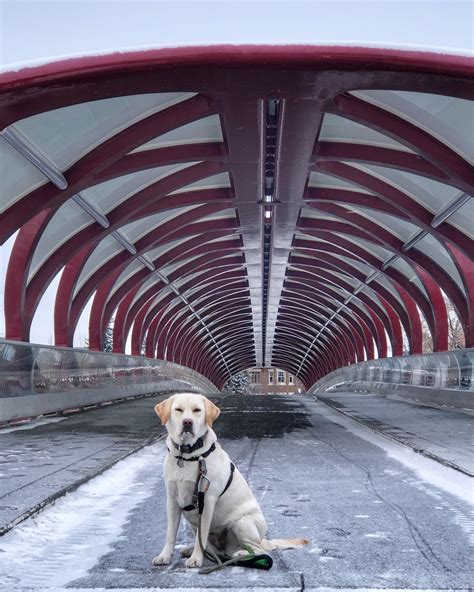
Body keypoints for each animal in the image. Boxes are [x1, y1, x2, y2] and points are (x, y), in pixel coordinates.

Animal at [151, 394, 308, 568]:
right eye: (178, 410)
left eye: (197, 410)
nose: (187, 422)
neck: (187, 456)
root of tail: (263, 539)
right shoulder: (172, 499)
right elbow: (171, 534)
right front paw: (164, 556)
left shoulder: (207, 501)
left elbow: (201, 537)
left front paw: (196, 558)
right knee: (215, 549)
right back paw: (195, 550)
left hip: (241, 523)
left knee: (257, 549)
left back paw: (242, 554)